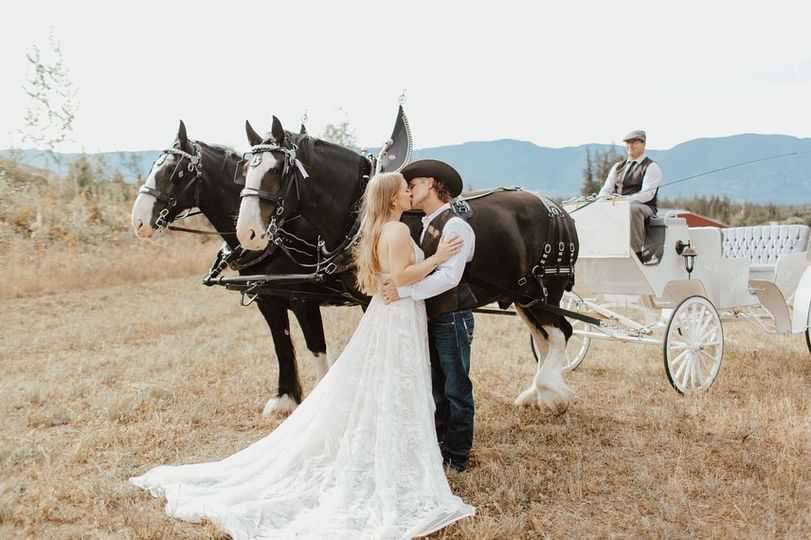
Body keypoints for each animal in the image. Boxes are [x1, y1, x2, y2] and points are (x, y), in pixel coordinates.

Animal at [131, 122, 358, 416]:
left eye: (175, 172)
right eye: (153, 166)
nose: (138, 221)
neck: (281, 235)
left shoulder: (303, 300)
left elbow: (315, 346)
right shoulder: (267, 299)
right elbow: (281, 345)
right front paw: (286, 397)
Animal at [238, 117, 580, 410]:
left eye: (276, 170)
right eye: (243, 170)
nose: (247, 232)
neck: (361, 212)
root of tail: (557, 209)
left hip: (546, 290)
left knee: (560, 332)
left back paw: (550, 390)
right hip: (524, 295)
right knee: (544, 336)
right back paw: (535, 393)